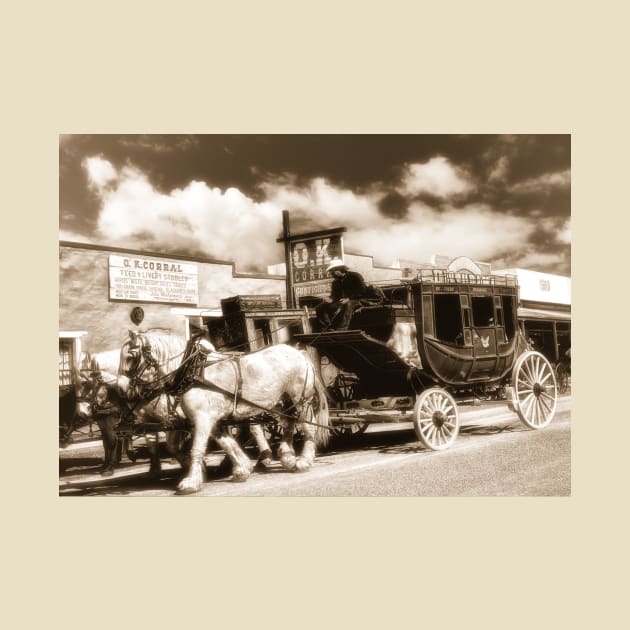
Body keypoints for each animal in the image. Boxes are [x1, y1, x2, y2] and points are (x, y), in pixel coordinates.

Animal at [117, 330, 330, 494]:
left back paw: (303, 461)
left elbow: (196, 449)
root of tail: (298, 352)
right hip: (281, 403)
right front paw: (242, 468)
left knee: (307, 428)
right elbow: (227, 444)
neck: (193, 371)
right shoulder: (214, 420)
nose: (120, 389)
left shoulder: (202, 418)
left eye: (130, 357)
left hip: (301, 399)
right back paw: (287, 457)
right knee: (289, 424)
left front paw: (191, 482)